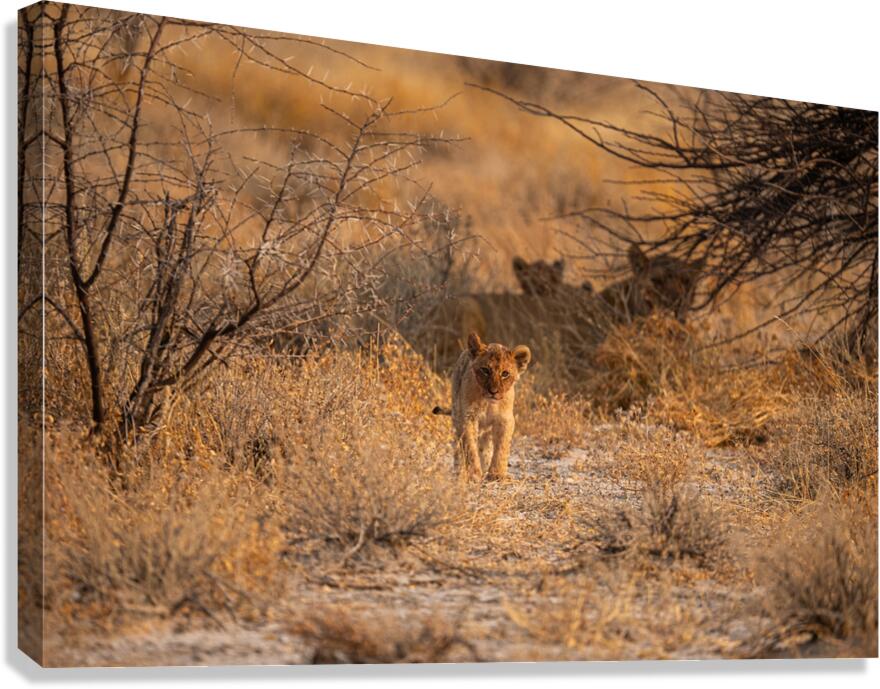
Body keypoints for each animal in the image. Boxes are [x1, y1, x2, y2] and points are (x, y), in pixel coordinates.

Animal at [433, 332, 531, 482]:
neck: (488, 404)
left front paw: (496, 474)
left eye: (505, 374)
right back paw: (460, 470)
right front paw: (474, 473)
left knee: (485, 446)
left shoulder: (505, 420)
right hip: (456, 414)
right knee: (458, 447)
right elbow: (470, 447)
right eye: (485, 370)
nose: (493, 391)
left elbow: (502, 447)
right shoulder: (468, 418)